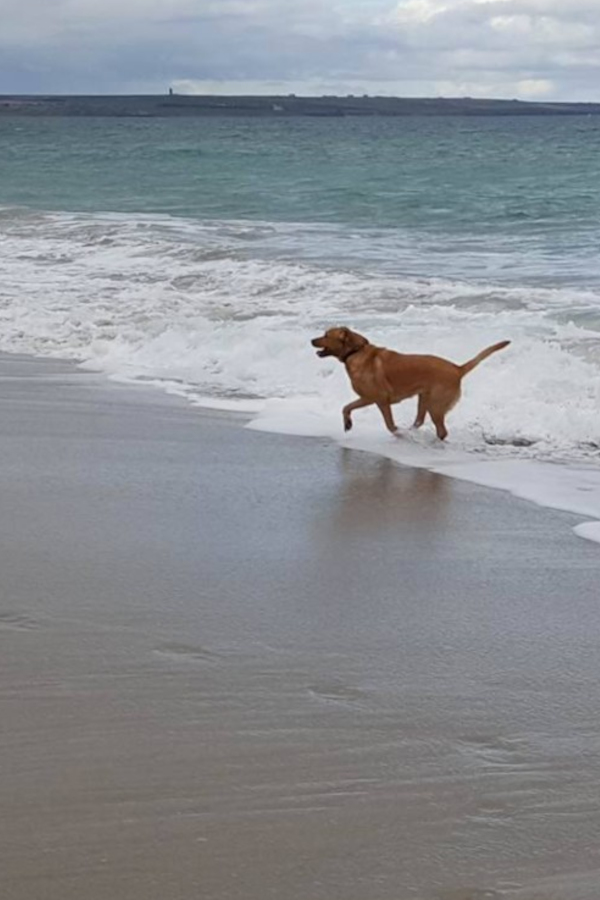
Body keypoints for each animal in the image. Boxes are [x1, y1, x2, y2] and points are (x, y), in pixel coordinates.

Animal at [312, 326, 508, 440]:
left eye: (325, 335)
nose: (311, 340)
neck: (355, 351)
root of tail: (457, 369)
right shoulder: (368, 399)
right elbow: (346, 407)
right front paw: (347, 423)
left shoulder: (377, 399)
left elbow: (389, 424)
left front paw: (397, 433)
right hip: (424, 399)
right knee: (420, 421)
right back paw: (413, 432)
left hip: (435, 405)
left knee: (441, 430)